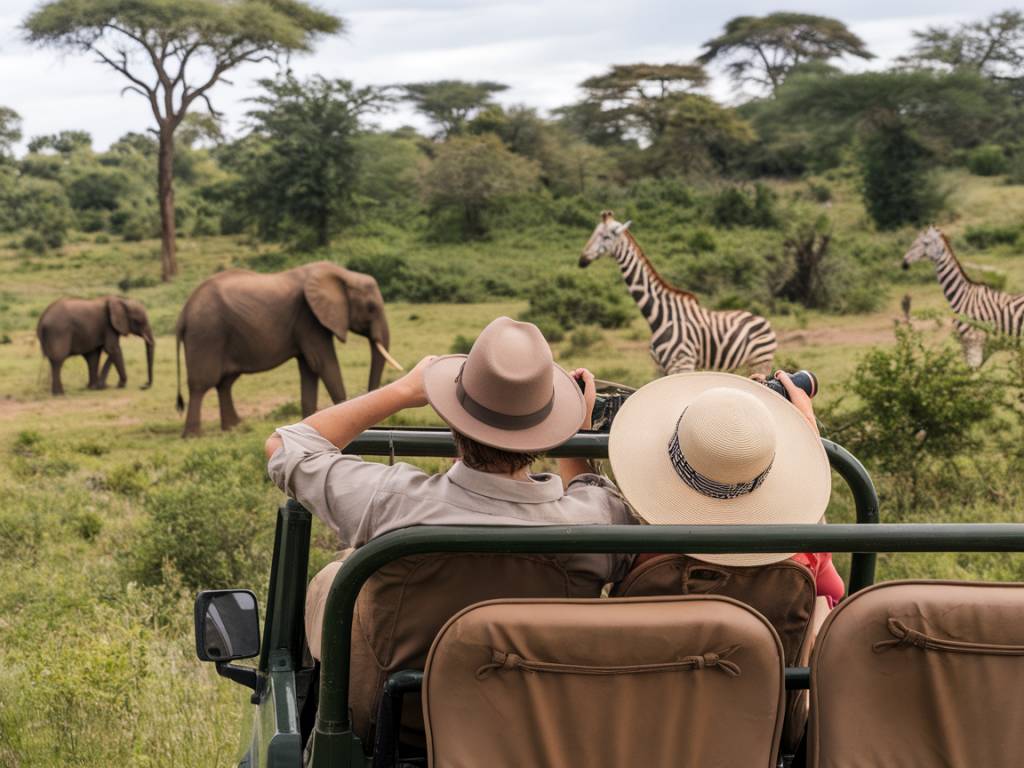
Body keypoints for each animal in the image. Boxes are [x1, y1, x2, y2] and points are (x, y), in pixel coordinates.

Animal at [174, 260, 401, 436]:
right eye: (371, 308)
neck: (344, 274)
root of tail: (183, 312)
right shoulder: (309, 318)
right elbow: (322, 363)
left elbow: (309, 368)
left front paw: (306, 422)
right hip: (206, 333)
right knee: (202, 384)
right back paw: (193, 436)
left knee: (225, 382)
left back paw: (233, 428)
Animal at [577, 211, 774, 376]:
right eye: (593, 233)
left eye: (606, 237)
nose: (582, 260)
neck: (659, 316)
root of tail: (762, 320)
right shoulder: (660, 368)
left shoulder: (682, 363)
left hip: (760, 361)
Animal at [905, 224, 1024, 368]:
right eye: (914, 242)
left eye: (925, 243)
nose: (904, 262)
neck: (963, 296)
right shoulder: (969, 343)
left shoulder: (974, 339)